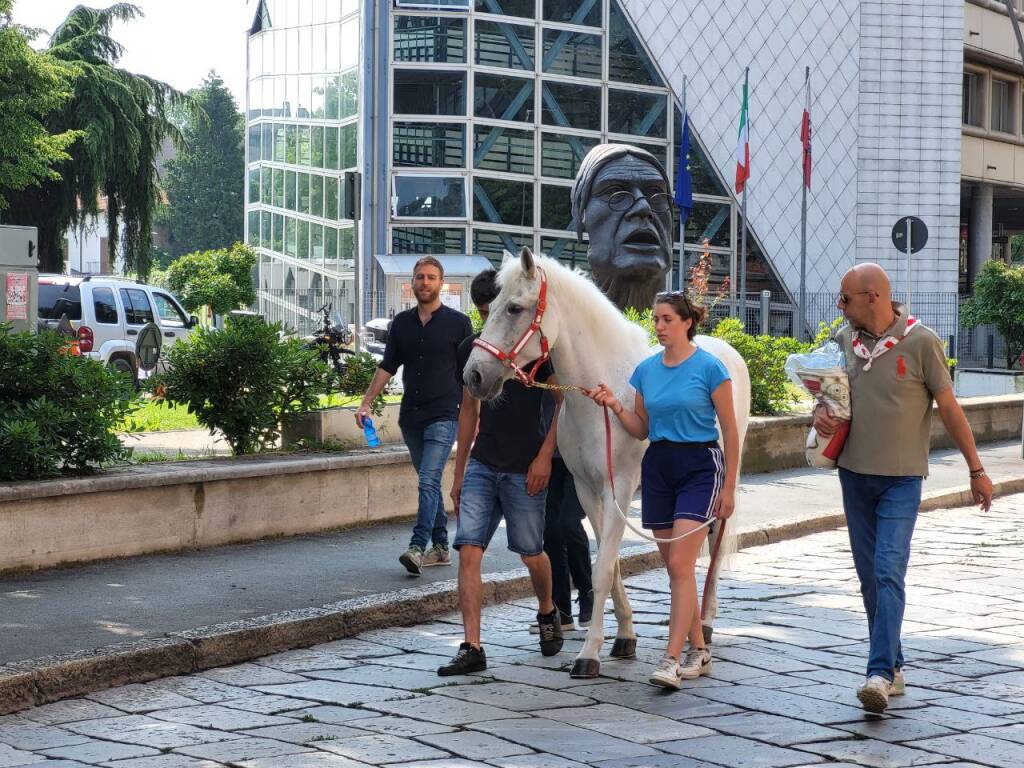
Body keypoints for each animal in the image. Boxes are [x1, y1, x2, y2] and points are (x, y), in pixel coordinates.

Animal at [466, 247, 753, 679]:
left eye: (515, 307)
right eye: (493, 305)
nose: (474, 375)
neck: (602, 390)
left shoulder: (616, 488)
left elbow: (601, 570)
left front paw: (589, 654)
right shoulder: (588, 490)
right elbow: (610, 562)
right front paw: (625, 637)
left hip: (724, 487)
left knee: (715, 549)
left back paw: (703, 624)